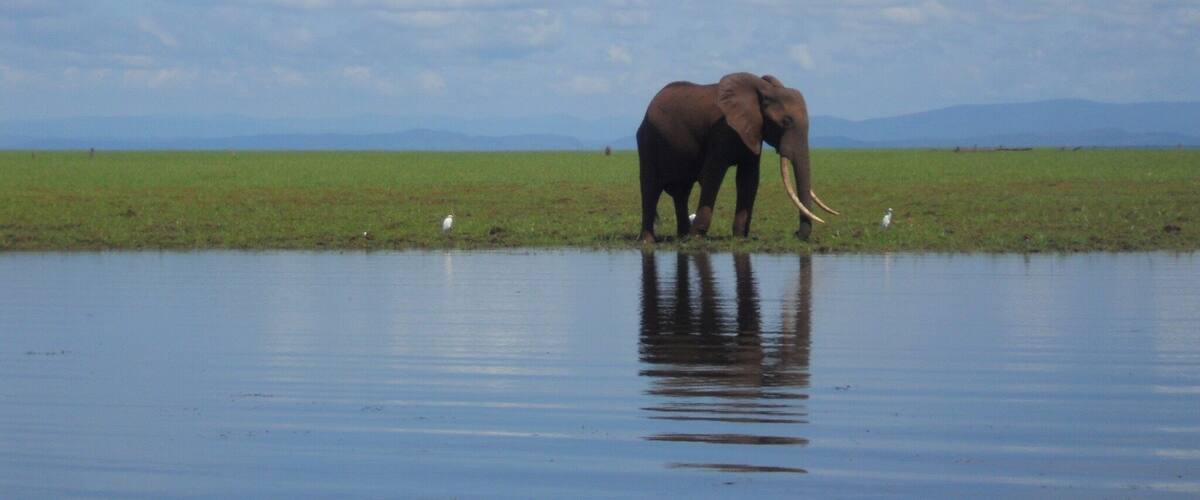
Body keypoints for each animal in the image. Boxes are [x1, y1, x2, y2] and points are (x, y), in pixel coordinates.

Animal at [636, 72, 840, 243]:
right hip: (647, 141)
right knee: (650, 187)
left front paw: (740, 237)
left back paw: (682, 236)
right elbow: (711, 176)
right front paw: (697, 237)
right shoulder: (721, 130)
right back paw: (649, 240)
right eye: (786, 122)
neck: (763, 91)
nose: (795, 234)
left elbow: (748, 179)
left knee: (682, 192)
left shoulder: (752, 131)